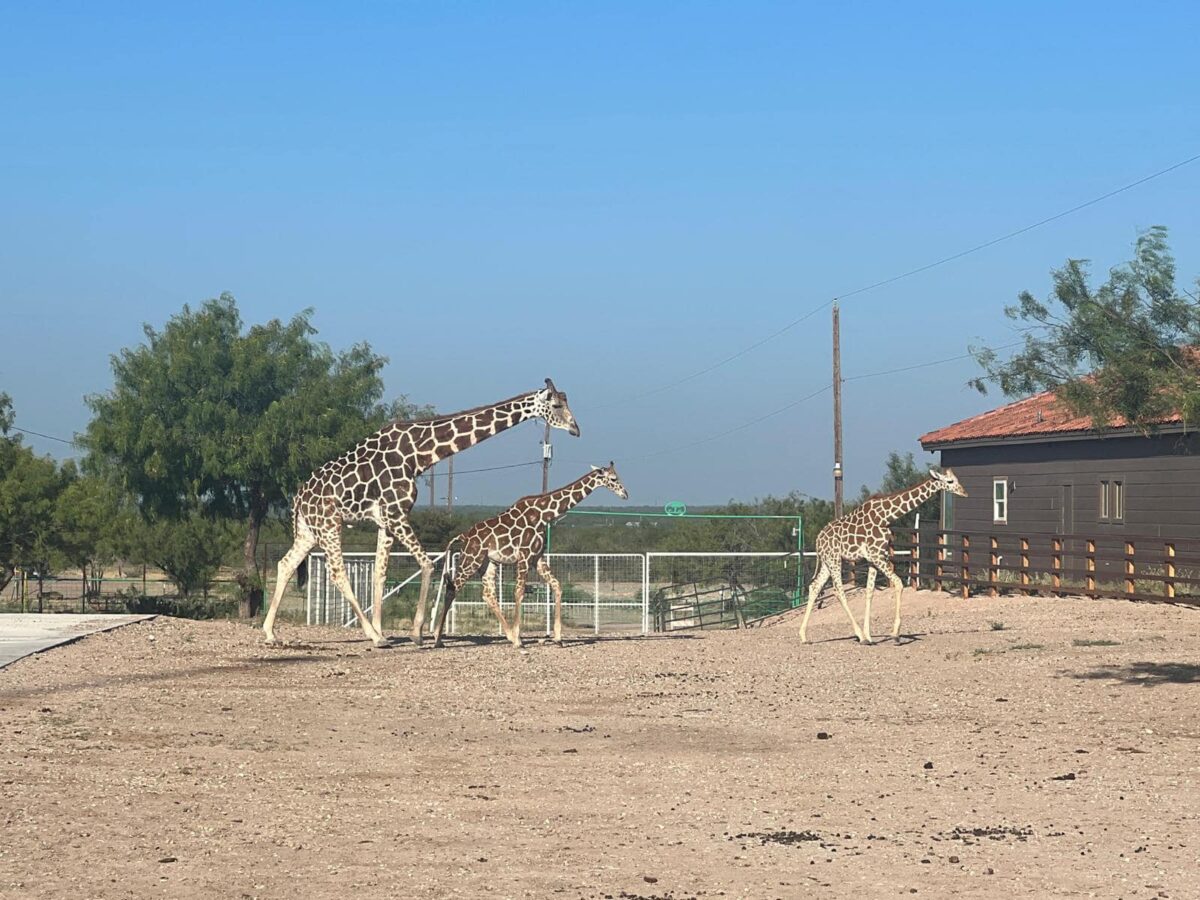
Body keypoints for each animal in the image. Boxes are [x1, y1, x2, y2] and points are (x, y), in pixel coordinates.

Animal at [262, 381, 580, 648]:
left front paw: (384, 629)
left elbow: (380, 574)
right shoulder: (396, 513)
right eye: (556, 405)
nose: (576, 429)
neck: (417, 454)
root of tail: (298, 498)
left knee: (285, 564)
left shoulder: (387, 520)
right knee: (337, 572)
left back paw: (270, 633)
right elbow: (427, 564)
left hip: (309, 530)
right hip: (329, 524)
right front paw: (414, 632)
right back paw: (371, 637)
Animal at [420, 465, 628, 648]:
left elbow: (557, 585)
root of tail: (464, 535)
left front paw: (558, 638)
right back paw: (438, 639)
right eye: (613, 479)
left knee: (488, 594)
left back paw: (509, 636)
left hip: (488, 563)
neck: (545, 515)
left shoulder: (537, 557)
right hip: (472, 558)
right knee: (452, 588)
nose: (625, 494)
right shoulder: (525, 556)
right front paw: (520, 638)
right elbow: (519, 592)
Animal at [801, 468, 969, 643]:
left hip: (828, 561)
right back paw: (859, 635)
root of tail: (818, 539)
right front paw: (894, 634)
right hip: (834, 559)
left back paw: (804, 636)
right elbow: (898, 583)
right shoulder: (876, 556)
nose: (964, 492)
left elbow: (870, 591)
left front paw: (870, 635)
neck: (886, 516)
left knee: (815, 586)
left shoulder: (874, 558)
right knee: (838, 590)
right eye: (950, 481)